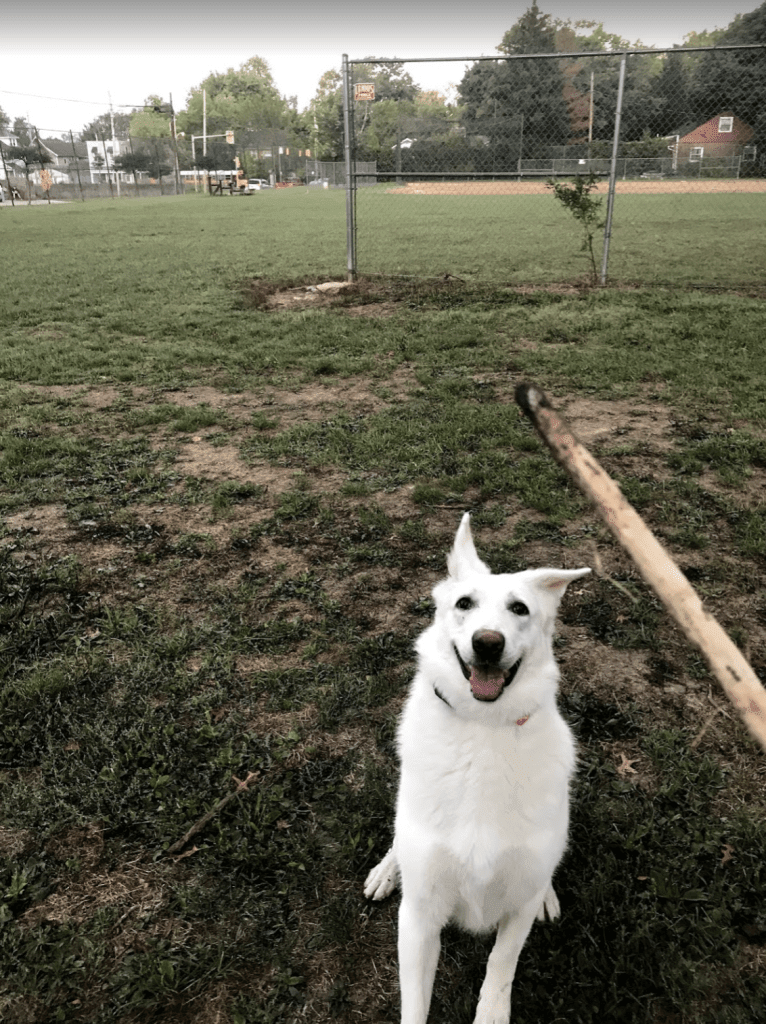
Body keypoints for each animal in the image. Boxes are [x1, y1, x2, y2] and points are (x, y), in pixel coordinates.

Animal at [364, 516, 593, 1019]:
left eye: (520, 608)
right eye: (464, 603)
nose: (487, 644)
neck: (484, 727)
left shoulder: (517, 906)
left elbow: (501, 965)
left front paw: (491, 1011)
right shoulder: (419, 917)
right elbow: (414, 1006)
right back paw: (387, 869)